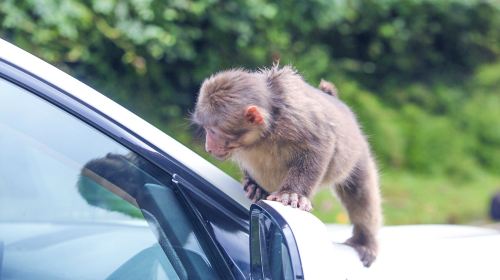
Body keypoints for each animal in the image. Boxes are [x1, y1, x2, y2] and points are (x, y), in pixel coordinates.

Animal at [192, 64, 382, 266]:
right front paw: (255, 185)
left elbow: (319, 145)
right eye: (206, 130)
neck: (263, 135)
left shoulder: (295, 120)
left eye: (213, 131)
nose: (208, 147)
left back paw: (364, 240)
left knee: (360, 193)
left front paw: (293, 193)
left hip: (357, 155)